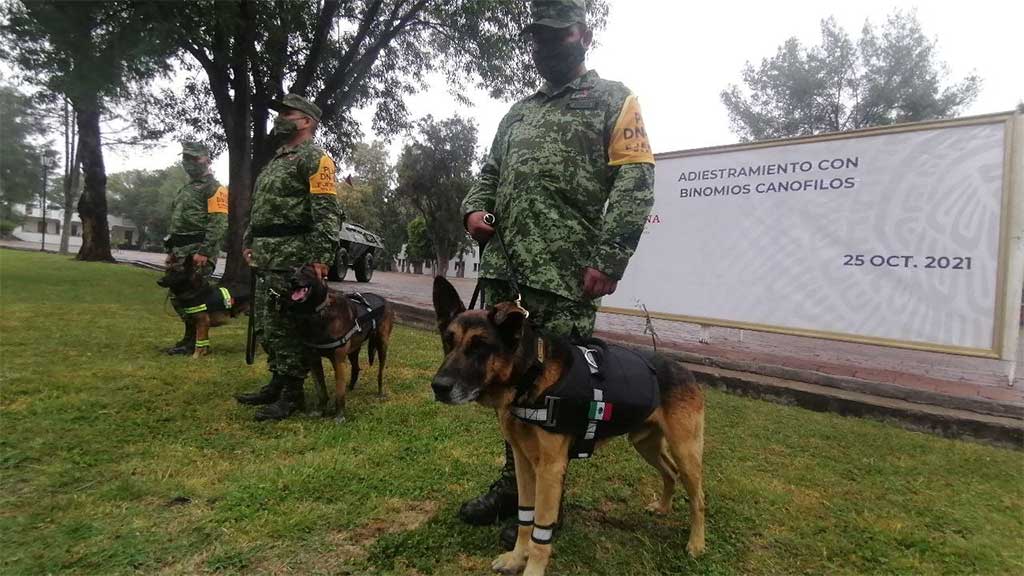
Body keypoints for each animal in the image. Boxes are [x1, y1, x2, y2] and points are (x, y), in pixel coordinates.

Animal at [280, 264, 395, 422]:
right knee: (356, 368)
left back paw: (380, 392)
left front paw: (339, 416)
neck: (317, 313)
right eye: (292, 271)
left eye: (306, 270)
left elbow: (339, 393)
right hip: (354, 350)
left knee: (380, 373)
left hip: (382, 344)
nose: (292, 280)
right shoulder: (314, 360)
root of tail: (383, 299)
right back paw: (351, 388)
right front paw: (320, 410)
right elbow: (321, 390)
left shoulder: (338, 360)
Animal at [430, 276, 704, 569]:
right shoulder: (523, 463)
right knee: (670, 473)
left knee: (698, 498)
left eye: (480, 346)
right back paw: (663, 508)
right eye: (448, 341)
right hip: (646, 444)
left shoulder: (550, 469)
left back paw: (697, 544)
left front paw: (531, 568)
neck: (532, 374)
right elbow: (525, 518)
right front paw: (516, 557)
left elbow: (540, 532)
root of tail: (684, 369)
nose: (438, 387)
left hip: (686, 452)